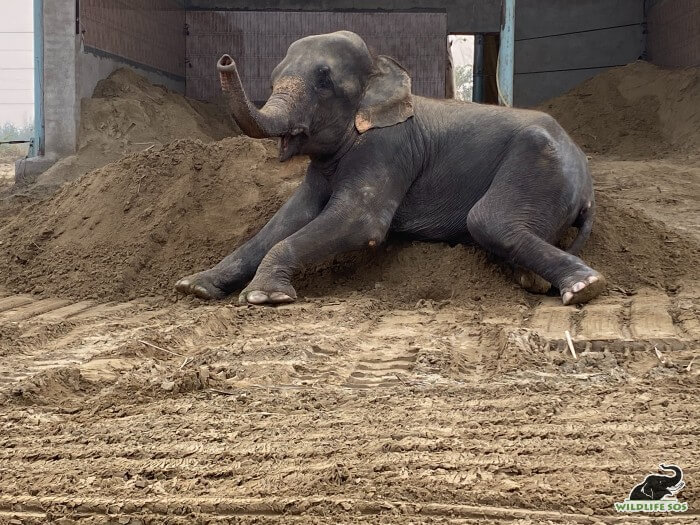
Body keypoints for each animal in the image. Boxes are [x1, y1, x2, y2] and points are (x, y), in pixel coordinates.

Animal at [172, 30, 604, 304]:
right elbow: (286, 219)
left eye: (324, 82)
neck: (383, 72)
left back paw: (583, 287)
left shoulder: (388, 149)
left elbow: (360, 221)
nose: (224, 59)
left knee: (488, 220)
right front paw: (194, 287)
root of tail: (588, 186)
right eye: (275, 77)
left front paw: (263, 296)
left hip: (541, 167)